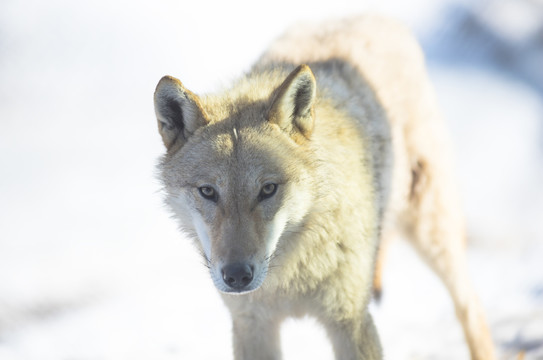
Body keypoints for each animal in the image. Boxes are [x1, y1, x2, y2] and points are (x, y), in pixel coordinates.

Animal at [154, 14, 498, 360]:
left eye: (268, 189)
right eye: (208, 192)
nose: (237, 276)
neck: (289, 272)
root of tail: (376, 18)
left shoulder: (351, 322)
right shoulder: (252, 327)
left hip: (433, 237)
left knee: (470, 306)